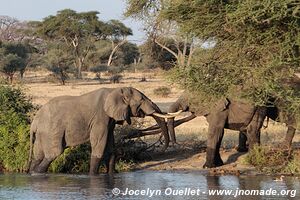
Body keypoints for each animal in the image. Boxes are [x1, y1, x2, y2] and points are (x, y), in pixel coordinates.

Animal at [29, 86, 173, 174]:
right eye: (142, 99)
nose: (161, 149)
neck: (115, 90)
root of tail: (34, 122)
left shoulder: (110, 121)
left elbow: (110, 147)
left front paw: (112, 173)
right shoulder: (100, 118)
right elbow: (99, 145)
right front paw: (93, 176)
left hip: (42, 134)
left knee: (38, 156)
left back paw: (32, 172)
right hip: (51, 131)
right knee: (54, 153)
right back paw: (37, 173)